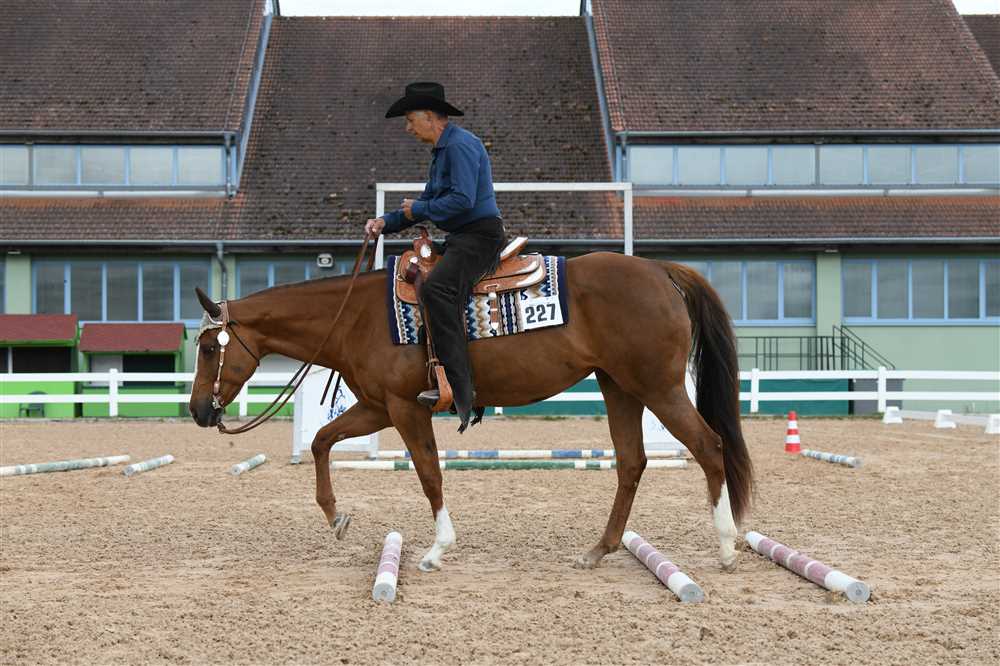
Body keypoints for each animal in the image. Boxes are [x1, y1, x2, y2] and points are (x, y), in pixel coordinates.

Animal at [188, 251, 753, 573]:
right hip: (619, 386)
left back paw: (727, 547)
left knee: (708, 446)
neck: (353, 316)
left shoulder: (405, 409)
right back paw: (600, 549)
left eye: (210, 348)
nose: (196, 411)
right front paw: (337, 516)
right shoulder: (376, 406)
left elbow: (429, 473)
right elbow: (323, 440)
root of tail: (660, 270)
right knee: (632, 462)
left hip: (658, 386)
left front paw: (438, 548)